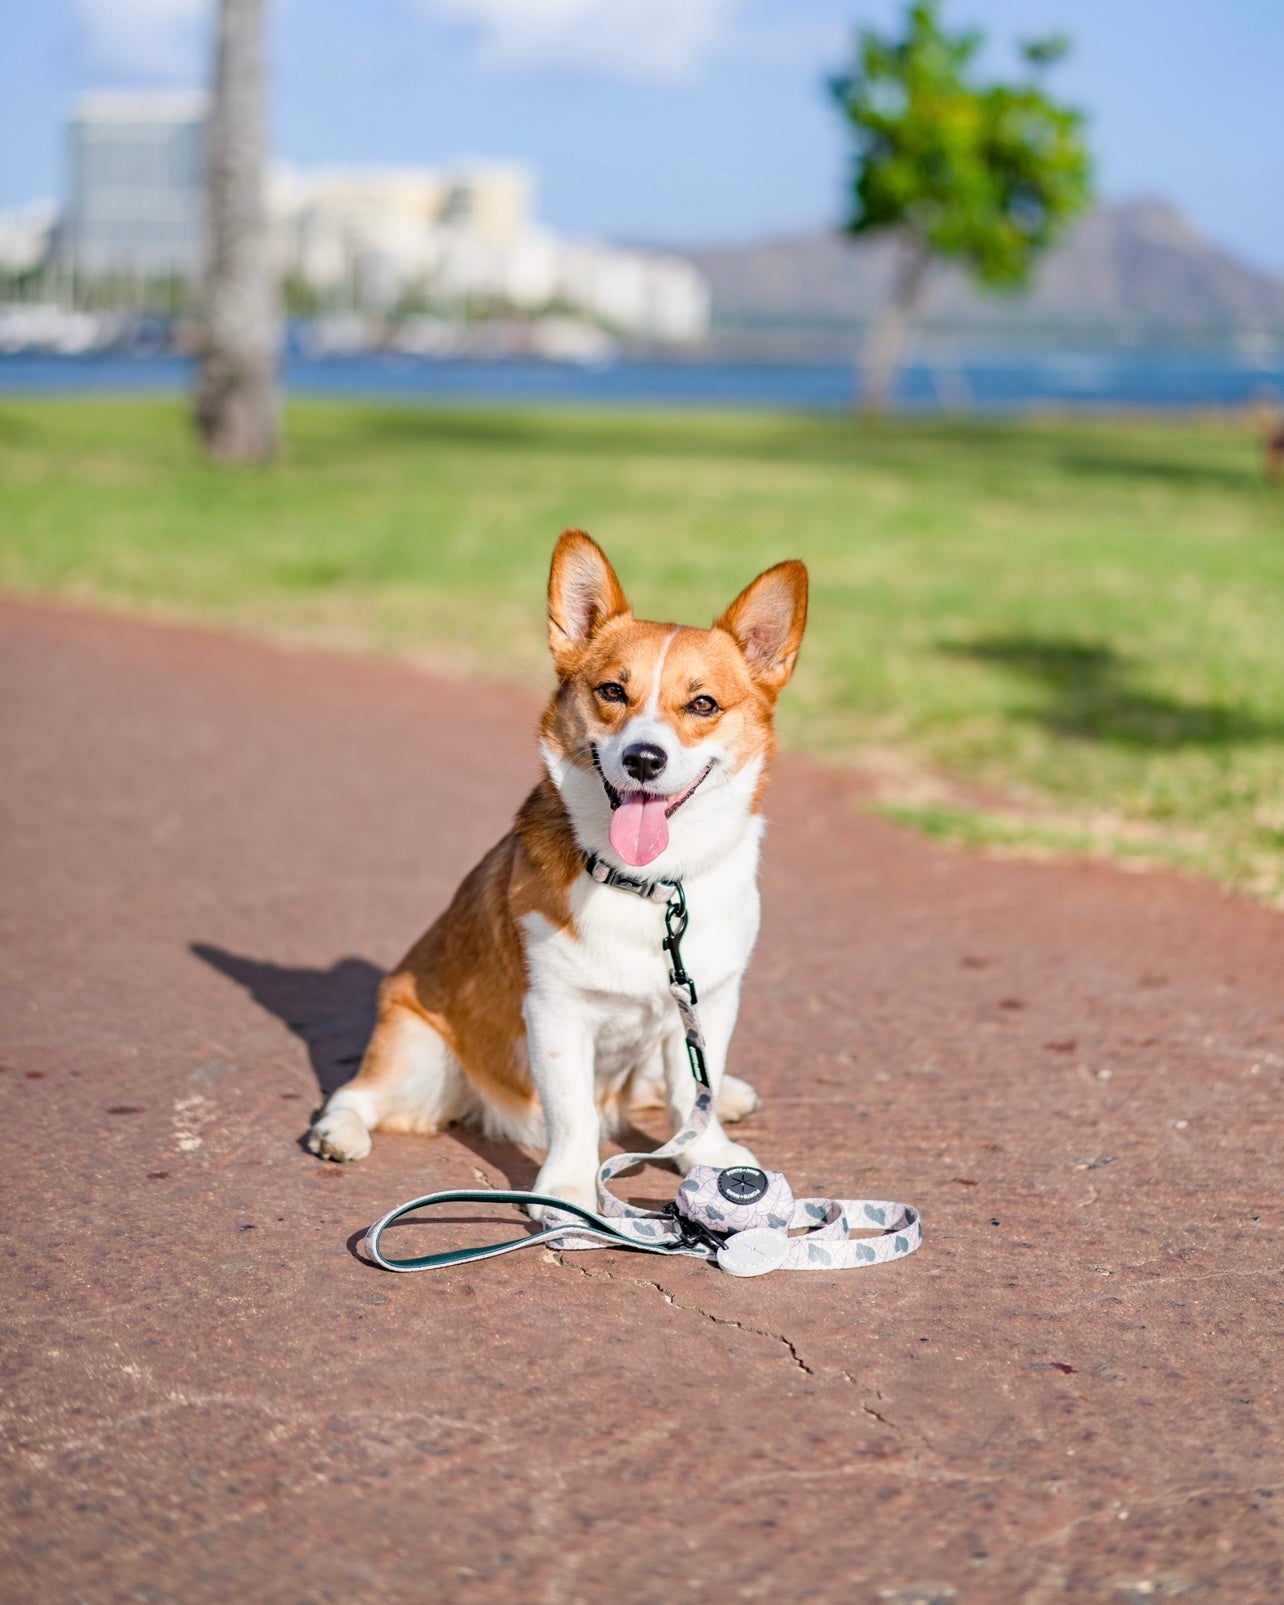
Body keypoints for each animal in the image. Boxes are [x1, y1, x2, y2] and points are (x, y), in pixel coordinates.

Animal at [306, 532, 808, 1206]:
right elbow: (575, 1116)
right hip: (418, 1055)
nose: (643, 759)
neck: (646, 885)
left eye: (703, 703)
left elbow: (689, 1092)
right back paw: (338, 1133)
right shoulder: (556, 1011)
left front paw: (707, 1151)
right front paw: (568, 1192)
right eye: (612, 691)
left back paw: (725, 1097)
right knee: (355, 1094)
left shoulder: (708, 1001)